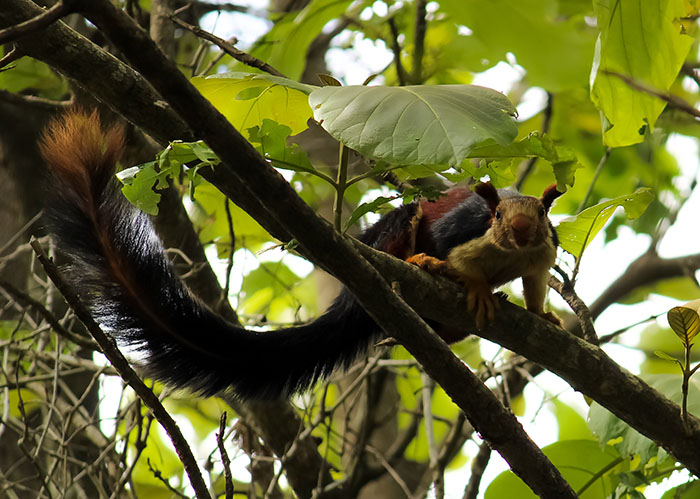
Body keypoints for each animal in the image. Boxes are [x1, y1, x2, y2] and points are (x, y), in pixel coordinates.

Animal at [40, 110, 562, 399]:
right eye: (497, 216)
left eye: (540, 214)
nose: (519, 230)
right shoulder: (465, 228)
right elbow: (456, 252)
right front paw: (467, 279)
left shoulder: (542, 253)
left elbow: (536, 282)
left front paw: (544, 314)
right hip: (396, 233)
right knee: (408, 229)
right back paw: (424, 268)